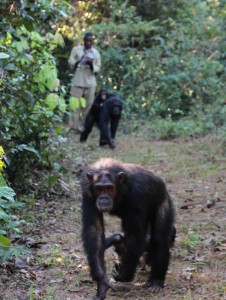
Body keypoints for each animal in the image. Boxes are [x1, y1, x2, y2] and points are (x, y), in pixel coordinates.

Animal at [80, 158, 176, 298]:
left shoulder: (137, 195)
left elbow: (134, 237)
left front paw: (123, 275)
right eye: (99, 189)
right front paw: (102, 282)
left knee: (159, 237)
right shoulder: (87, 193)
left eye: (109, 188)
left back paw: (156, 281)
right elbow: (94, 231)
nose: (103, 197)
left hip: (163, 200)